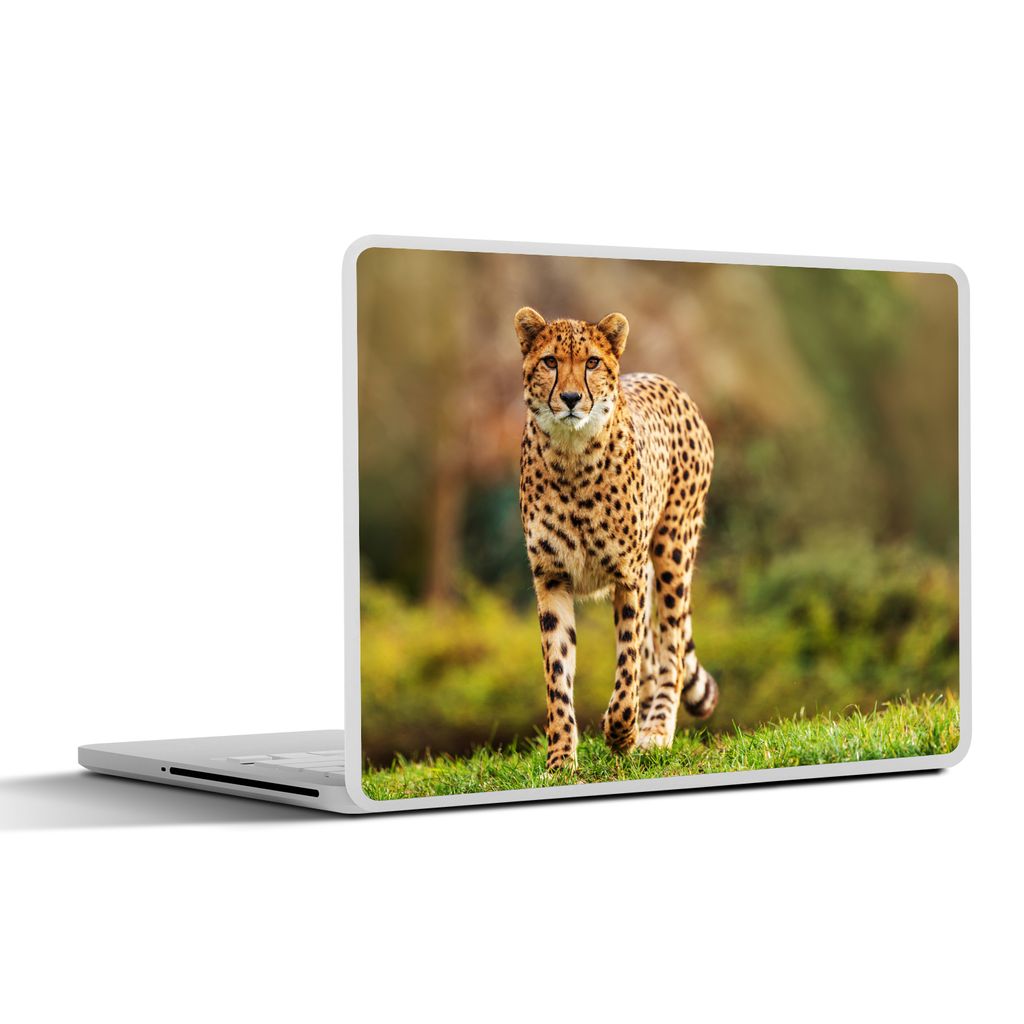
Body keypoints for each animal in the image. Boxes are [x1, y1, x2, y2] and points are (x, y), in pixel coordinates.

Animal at [515, 306, 718, 772]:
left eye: (592, 362)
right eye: (550, 361)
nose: (572, 398)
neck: (572, 455)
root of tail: (668, 382)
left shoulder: (628, 575)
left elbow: (627, 662)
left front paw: (621, 732)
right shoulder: (551, 579)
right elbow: (558, 673)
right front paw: (560, 760)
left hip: (672, 551)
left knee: (669, 649)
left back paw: (655, 730)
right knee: (654, 655)